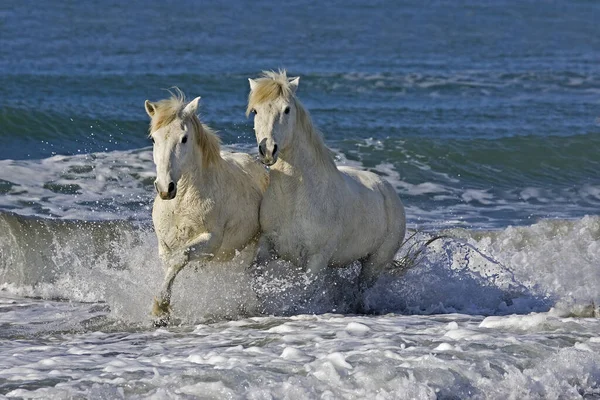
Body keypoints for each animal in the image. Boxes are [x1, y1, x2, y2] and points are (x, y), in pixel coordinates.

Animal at [145, 90, 268, 324]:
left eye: (184, 138)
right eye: (154, 139)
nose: (166, 188)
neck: (181, 202)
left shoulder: (210, 241)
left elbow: (180, 259)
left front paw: (160, 308)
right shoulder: (164, 244)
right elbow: (170, 265)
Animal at [246, 70, 406, 292]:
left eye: (287, 109)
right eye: (255, 111)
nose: (268, 150)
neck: (294, 198)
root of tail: (387, 189)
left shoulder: (316, 260)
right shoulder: (266, 246)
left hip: (374, 265)